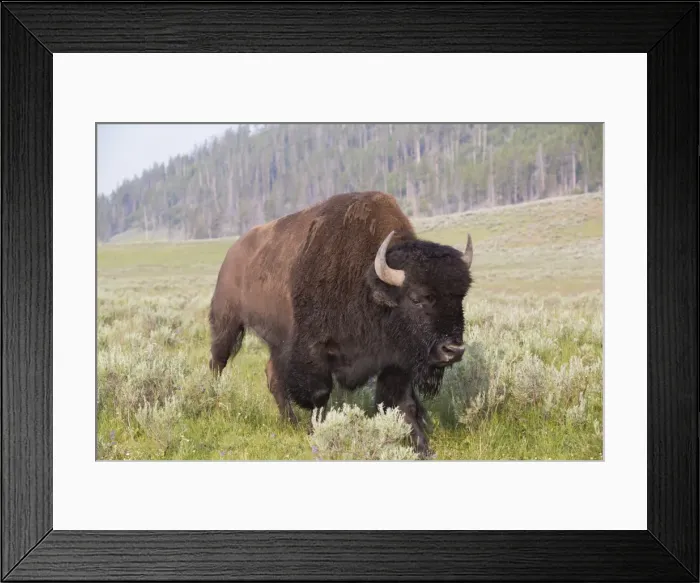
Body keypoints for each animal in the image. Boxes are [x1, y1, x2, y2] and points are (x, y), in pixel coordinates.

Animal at [208, 190, 473, 456]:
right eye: (416, 298)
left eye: (461, 297)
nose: (453, 350)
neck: (368, 284)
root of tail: (233, 252)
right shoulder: (313, 351)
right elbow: (319, 395)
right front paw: (316, 431)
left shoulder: (396, 360)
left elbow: (403, 403)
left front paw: (423, 448)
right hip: (227, 324)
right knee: (218, 362)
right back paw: (215, 402)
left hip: (276, 341)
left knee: (272, 374)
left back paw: (289, 422)